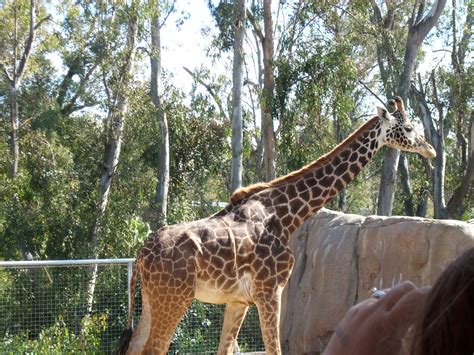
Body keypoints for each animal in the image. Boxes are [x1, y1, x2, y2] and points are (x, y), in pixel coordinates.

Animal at [115, 97, 434, 355]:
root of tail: (141, 256)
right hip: (174, 298)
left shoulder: (239, 300)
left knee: (135, 347)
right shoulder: (269, 291)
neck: (287, 215)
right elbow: (274, 349)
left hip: (153, 301)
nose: (430, 149)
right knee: (154, 348)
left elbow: (226, 349)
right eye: (408, 128)